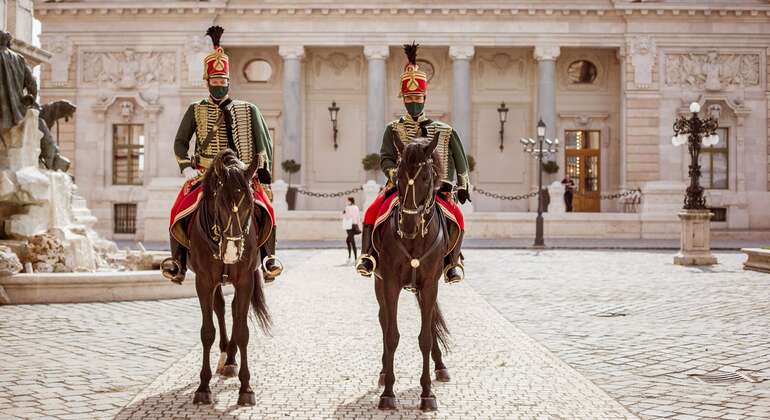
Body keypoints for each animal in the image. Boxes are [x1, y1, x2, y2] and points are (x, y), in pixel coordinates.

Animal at [186, 148, 270, 406]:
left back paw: (231, 359)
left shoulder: (245, 280)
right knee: (221, 308)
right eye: (220, 202)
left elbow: (243, 332)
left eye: (250, 205)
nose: (232, 252)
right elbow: (207, 332)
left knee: (233, 310)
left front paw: (246, 388)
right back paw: (226, 354)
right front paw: (203, 386)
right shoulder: (204, 281)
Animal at [374, 133, 452, 412]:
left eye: (426, 177)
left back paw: (440, 366)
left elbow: (426, 337)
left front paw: (427, 394)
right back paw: (383, 372)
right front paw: (388, 393)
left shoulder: (430, 284)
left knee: (430, 322)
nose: (408, 225)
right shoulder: (389, 283)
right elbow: (391, 335)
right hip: (379, 284)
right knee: (384, 320)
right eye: (397, 176)